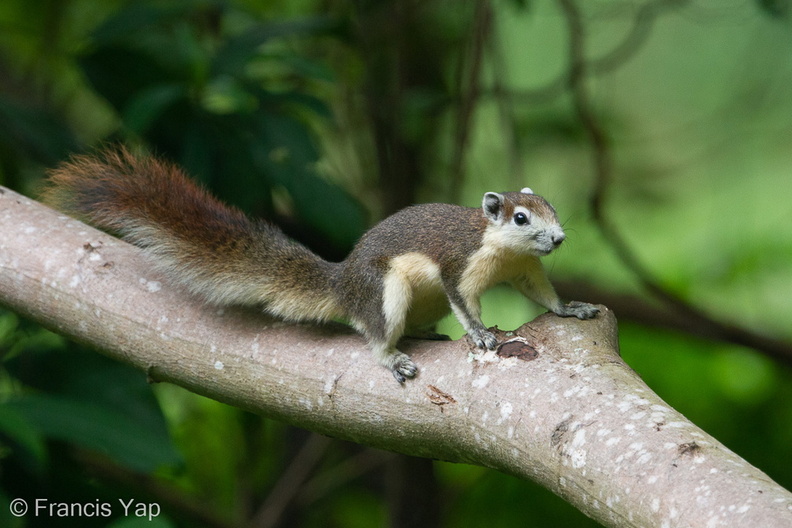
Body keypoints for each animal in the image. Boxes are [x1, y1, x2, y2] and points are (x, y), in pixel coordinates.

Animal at [44, 148, 600, 384]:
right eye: (522, 217)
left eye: (551, 208)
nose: (558, 238)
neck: (500, 249)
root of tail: (344, 283)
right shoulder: (456, 267)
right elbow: (465, 302)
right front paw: (482, 333)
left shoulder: (524, 270)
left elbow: (545, 295)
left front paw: (573, 309)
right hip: (386, 291)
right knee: (376, 336)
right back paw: (392, 357)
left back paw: (421, 336)